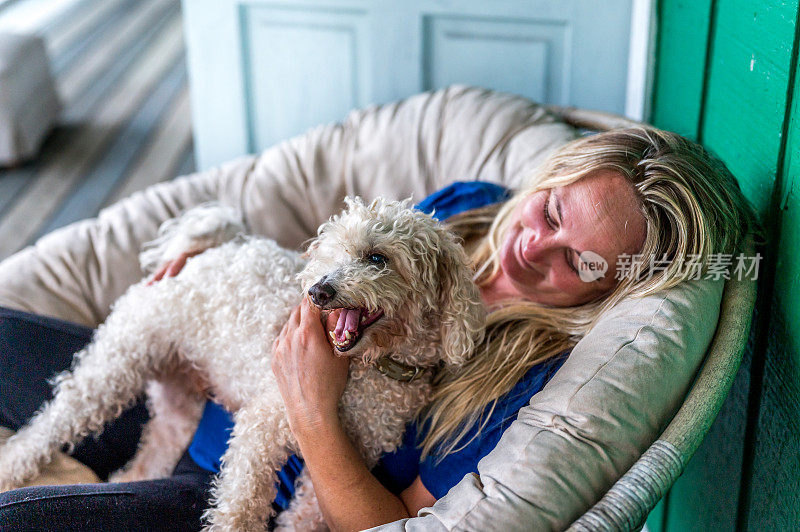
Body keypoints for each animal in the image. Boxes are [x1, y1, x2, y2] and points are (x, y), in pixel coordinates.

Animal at [0, 197, 484, 528]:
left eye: (378, 258)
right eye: (328, 253)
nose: (318, 290)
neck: (376, 369)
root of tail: (203, 251)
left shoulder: (340, 460)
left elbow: (305, 516)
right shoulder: (263, 425)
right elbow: (240, 503)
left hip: (177, 407)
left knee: (145, 461)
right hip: (116, 366)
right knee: (44, 431)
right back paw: (11, 471)